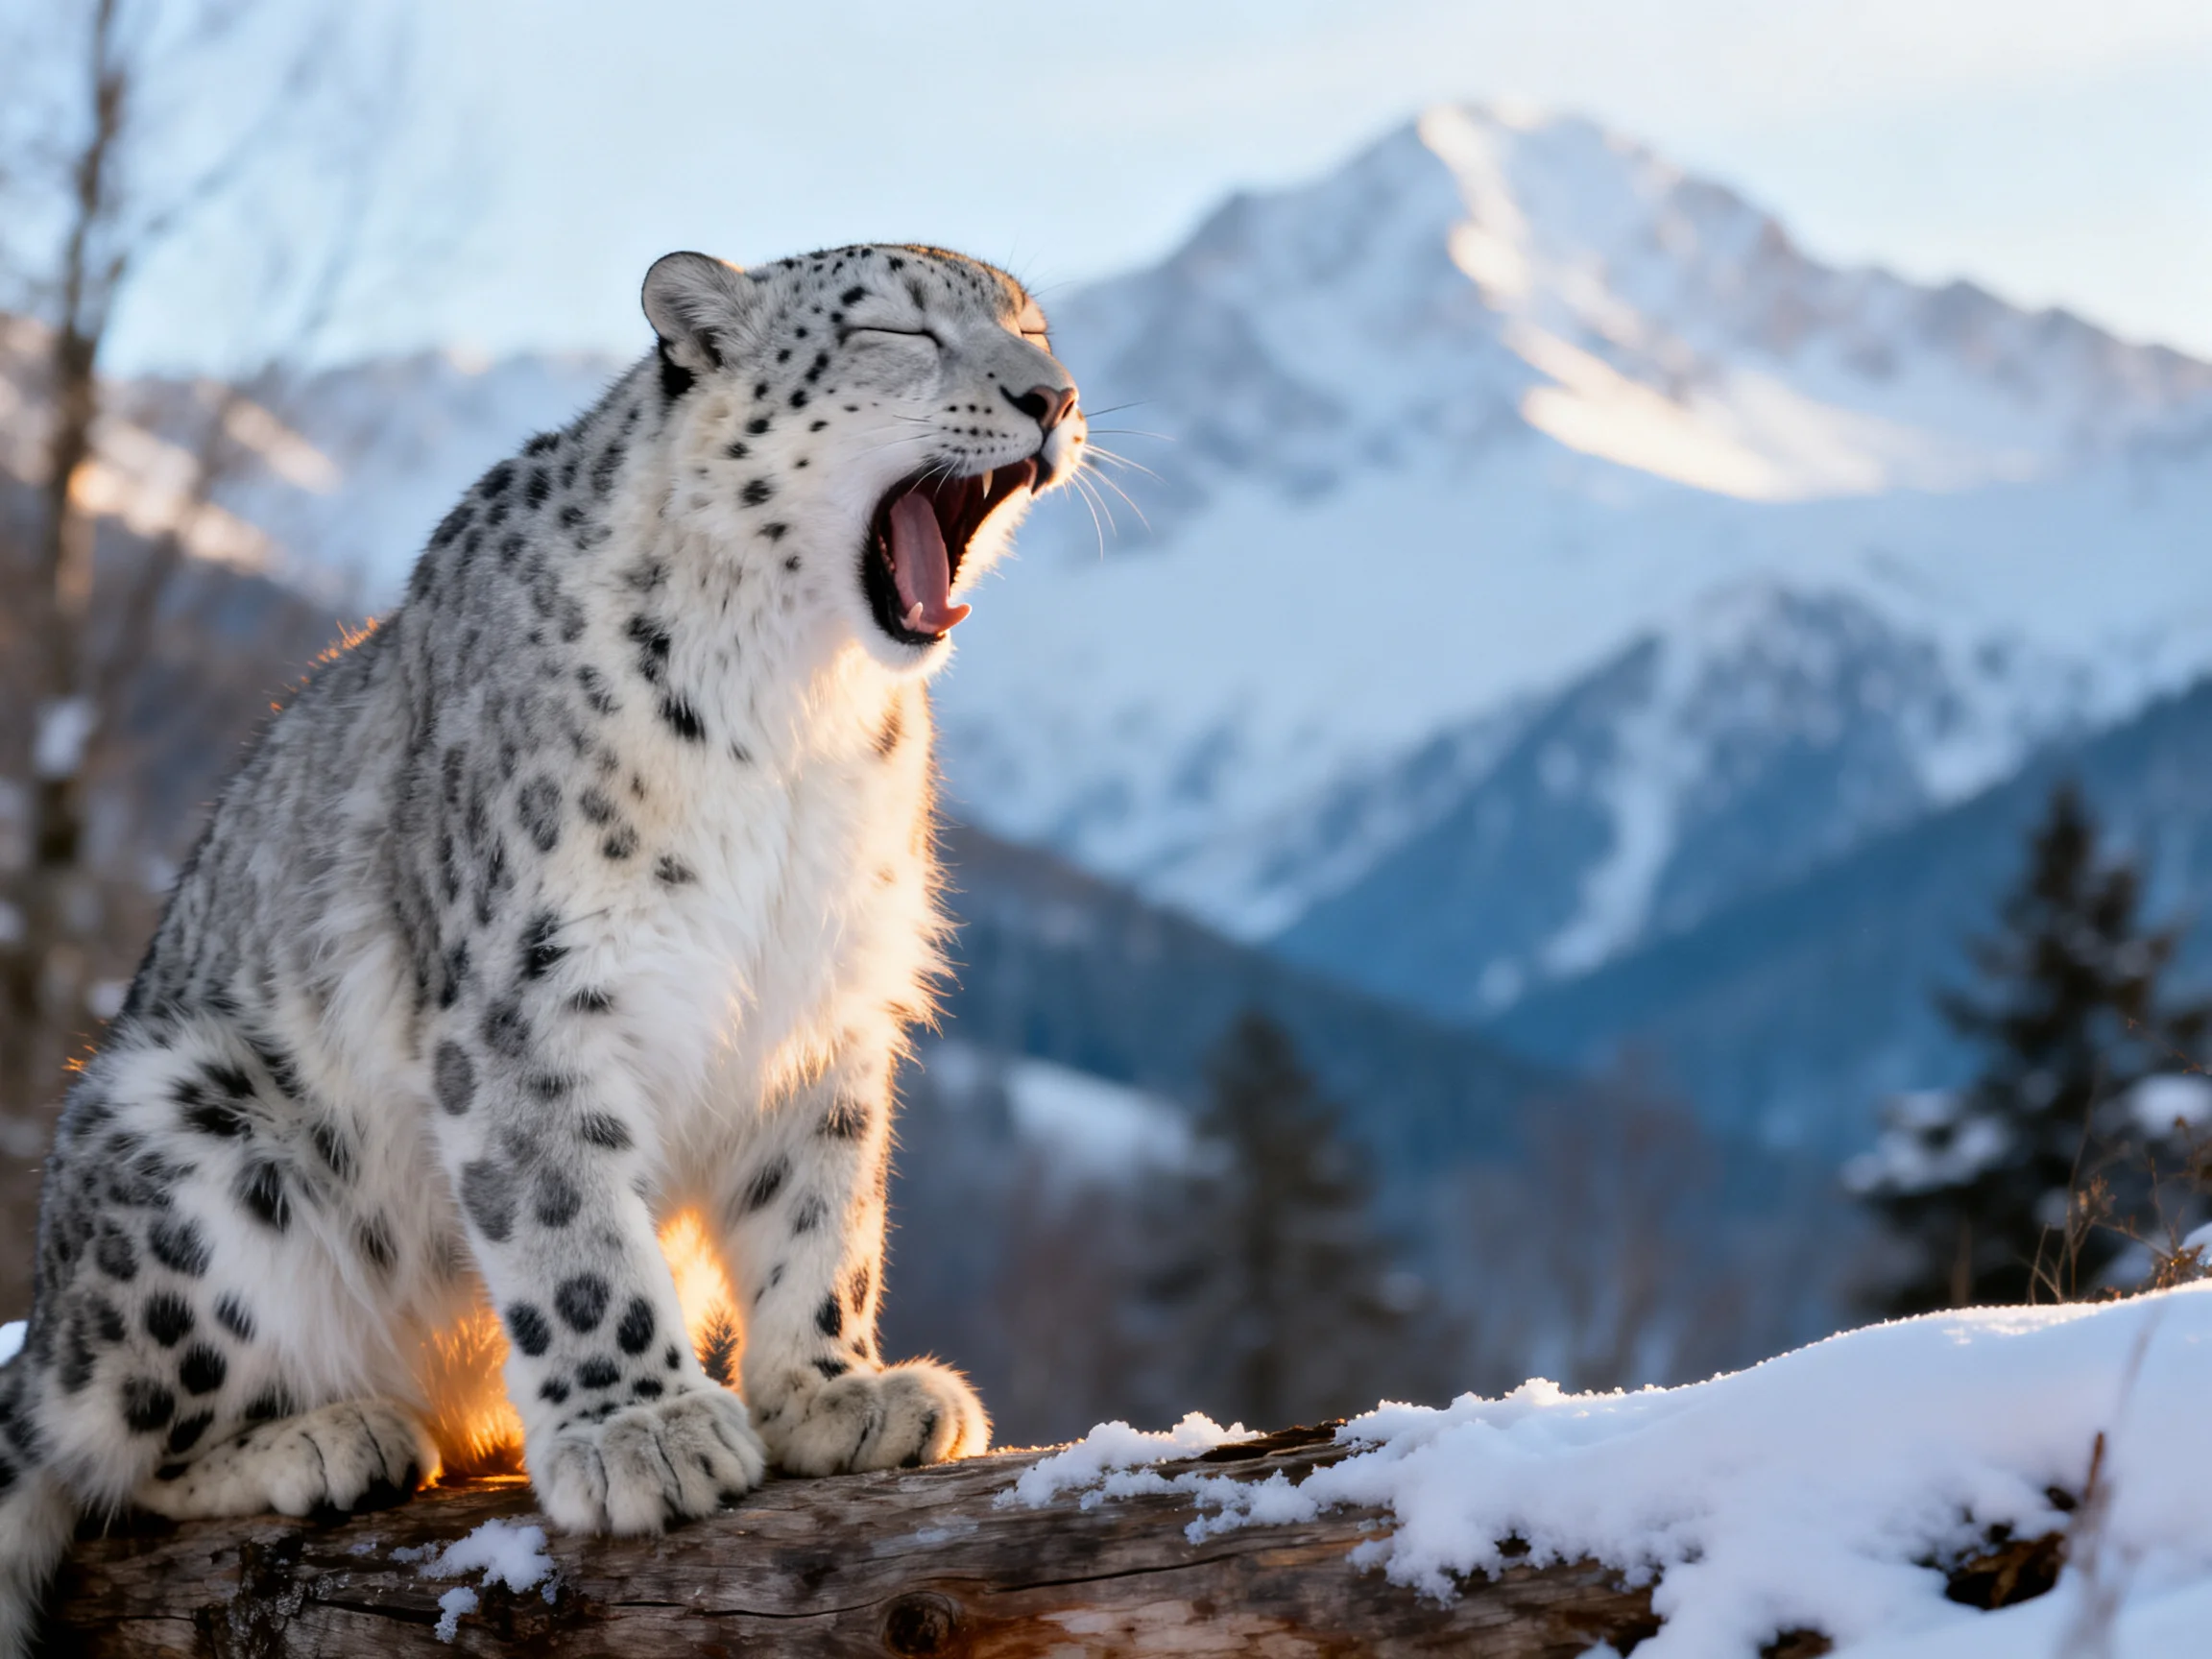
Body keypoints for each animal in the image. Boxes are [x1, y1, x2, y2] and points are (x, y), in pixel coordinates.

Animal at [0, 244, 1084, 1652]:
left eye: (1032, 328)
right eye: (897, 331)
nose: (1055, 398)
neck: (798, 710)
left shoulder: (824, 1005)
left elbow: (822, 1209)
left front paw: (835, 1394)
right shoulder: (533, 995)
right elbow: (568, 1220)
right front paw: (645, 1434)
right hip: (190, 1140)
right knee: (113, 1446)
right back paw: (330, 1437)